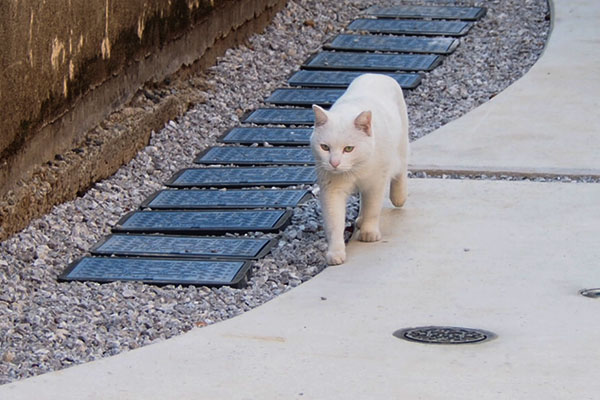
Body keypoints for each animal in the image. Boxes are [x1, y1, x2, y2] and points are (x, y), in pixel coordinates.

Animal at [312, 72, 410, 266]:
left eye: (348, 149)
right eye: (325, 147)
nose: (334, 163)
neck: (354, 171)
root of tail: (376, 74)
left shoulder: (376, 184)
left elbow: (373, 209)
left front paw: (369, 232)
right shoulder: (331, 191)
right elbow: (335, 223)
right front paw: (335, 253)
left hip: (401, 146)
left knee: (400, 171)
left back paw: (398, 197)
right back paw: (360, 219)